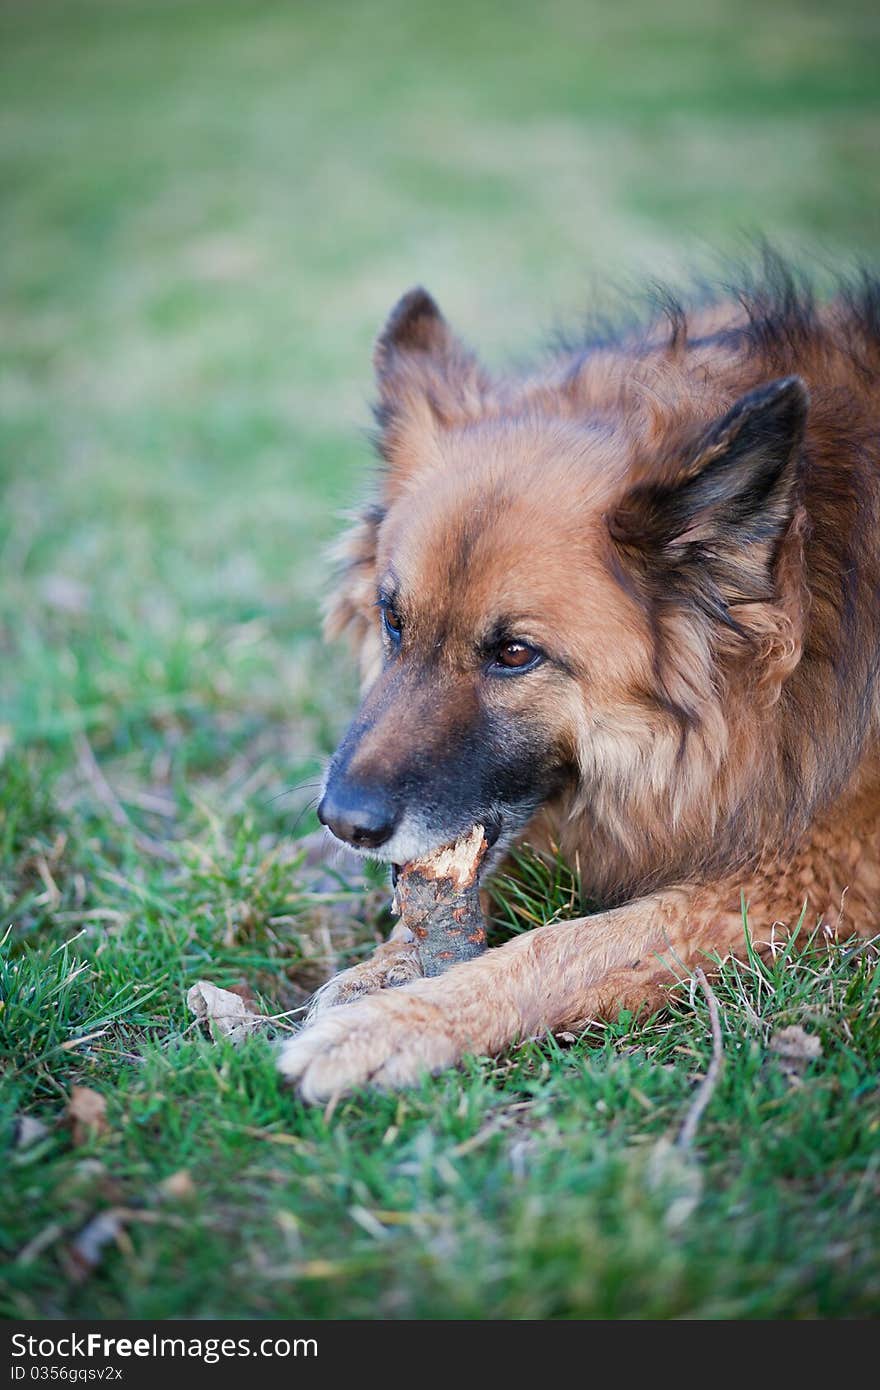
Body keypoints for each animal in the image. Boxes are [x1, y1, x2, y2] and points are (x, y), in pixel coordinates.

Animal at [278, 252, 878, 1095]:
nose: (342, 823)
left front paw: (392, 1025)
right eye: (392, 620)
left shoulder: (815, 878)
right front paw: (386, 971)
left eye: (515, 654)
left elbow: (567, 946)